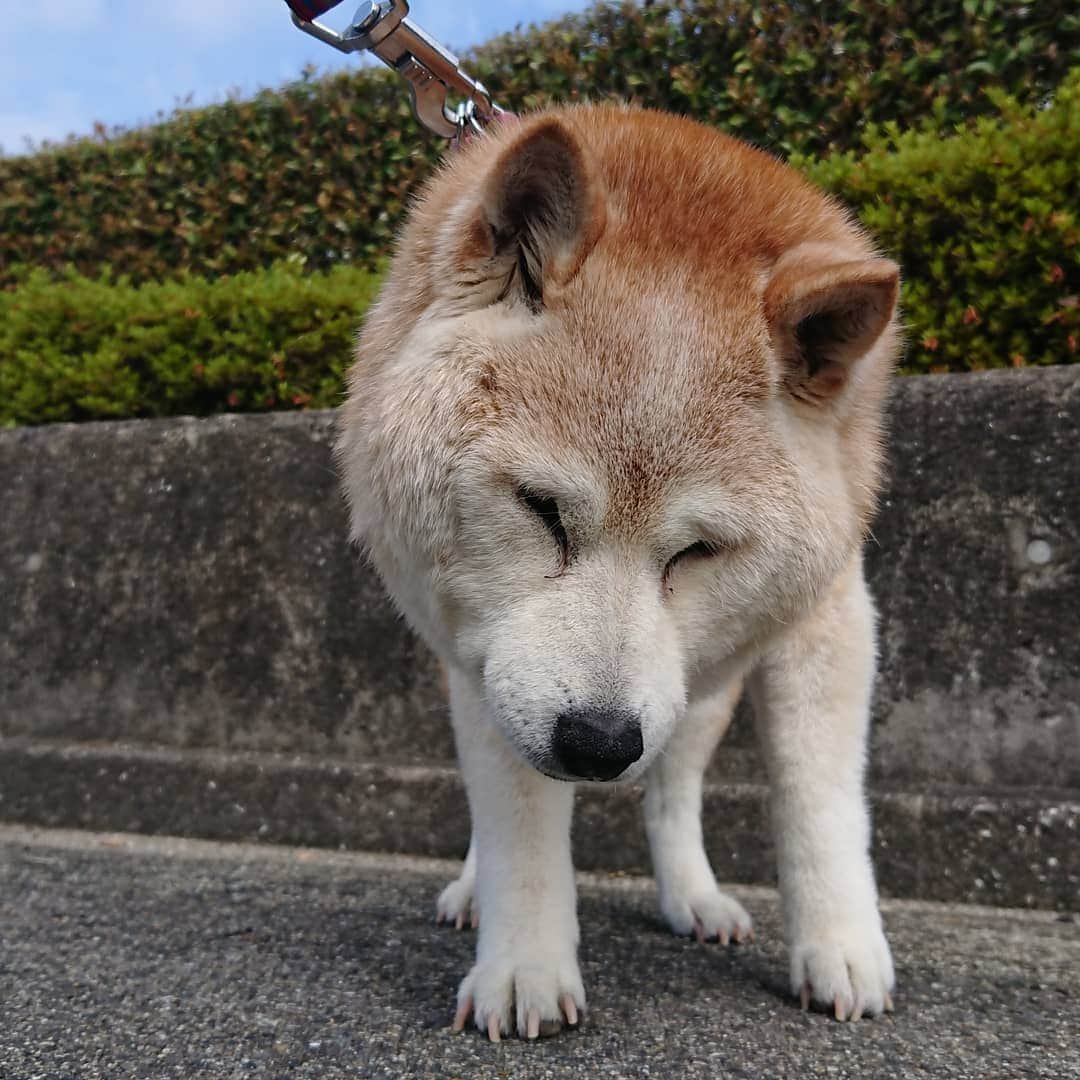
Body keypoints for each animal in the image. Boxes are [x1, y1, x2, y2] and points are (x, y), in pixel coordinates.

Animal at [339, 105, 902, 1041]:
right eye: (541, 509)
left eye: (698, 551)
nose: (600, 745)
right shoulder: (494, 657)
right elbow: (519, 825)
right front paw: (524, 964)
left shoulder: (831, 614)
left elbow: (817, 801)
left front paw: (841, 945)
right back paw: (475, 889)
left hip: (698, 695)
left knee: (673, 791)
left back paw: (694, 899)